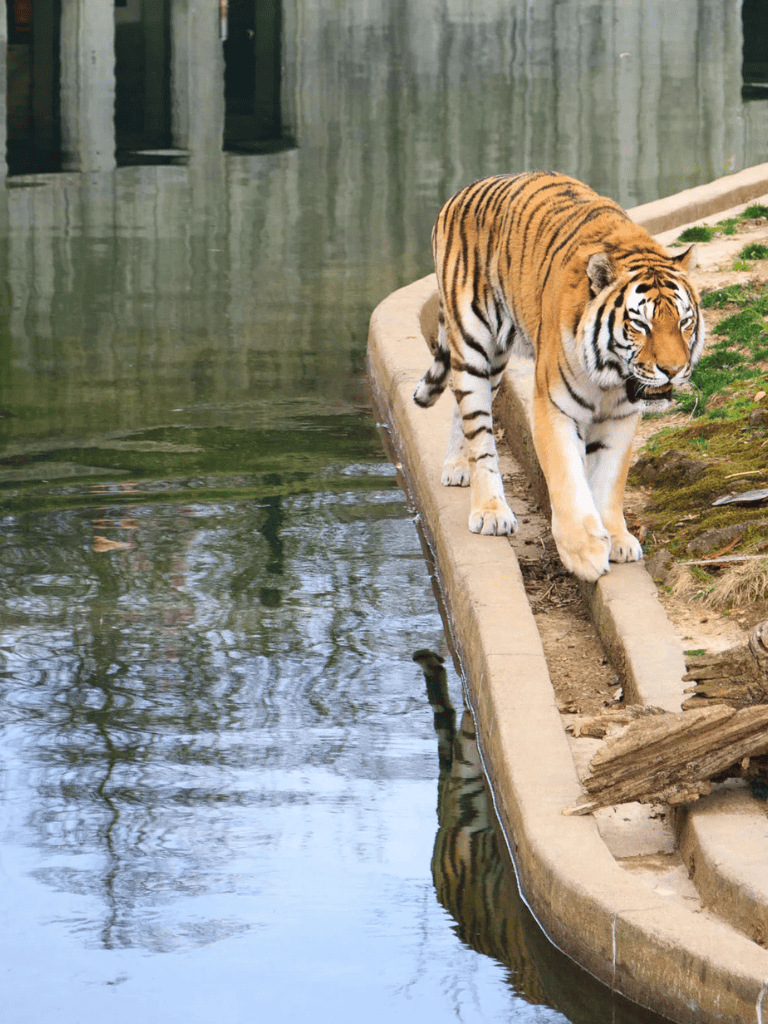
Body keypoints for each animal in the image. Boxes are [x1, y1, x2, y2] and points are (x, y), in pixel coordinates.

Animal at [413, 171, 704, 582]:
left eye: (684, 322)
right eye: (641, 325)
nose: (674, 370)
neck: (611, 375)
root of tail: (463, 191)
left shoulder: (622, 416)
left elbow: (609, 479)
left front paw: (617, 539)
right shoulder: (553, 406)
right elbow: (568, 477)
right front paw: (584, 552)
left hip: (496, 363)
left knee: (463, 412)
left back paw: (457, 467)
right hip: (474, 346)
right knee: (479, 429)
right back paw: (490, 511)